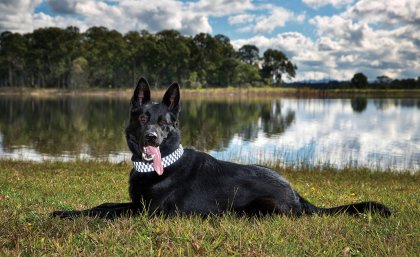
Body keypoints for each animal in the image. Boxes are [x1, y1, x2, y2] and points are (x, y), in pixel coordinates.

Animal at [51, 77, 390, 217]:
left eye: (165, 122)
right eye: (143, 117)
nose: (152, 138)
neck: (161, 165)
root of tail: (295, 194)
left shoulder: (145, 213)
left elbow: (104, 214)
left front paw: (66, 214)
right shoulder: (135, 205)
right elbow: (103, 205)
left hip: (259, 208)